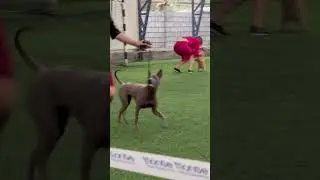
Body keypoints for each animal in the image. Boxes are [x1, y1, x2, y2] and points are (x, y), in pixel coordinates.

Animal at [15, 27, 108, 180]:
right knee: (38, 158)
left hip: (57, 128)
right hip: (49, 128)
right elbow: (84, 171)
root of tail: (43, 70)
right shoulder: (89, 144)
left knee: (36, 156)